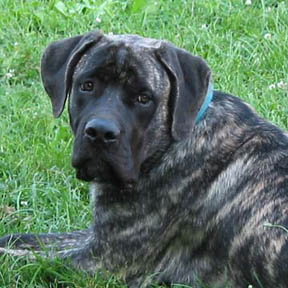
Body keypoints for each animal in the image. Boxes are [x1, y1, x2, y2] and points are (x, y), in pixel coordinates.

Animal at [0, 30, 288, 286]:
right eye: (87, 85)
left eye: (144, 98)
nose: (101, 132)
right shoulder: (98, 238)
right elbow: (27, 240)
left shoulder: (103, 260)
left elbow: (18, 258)